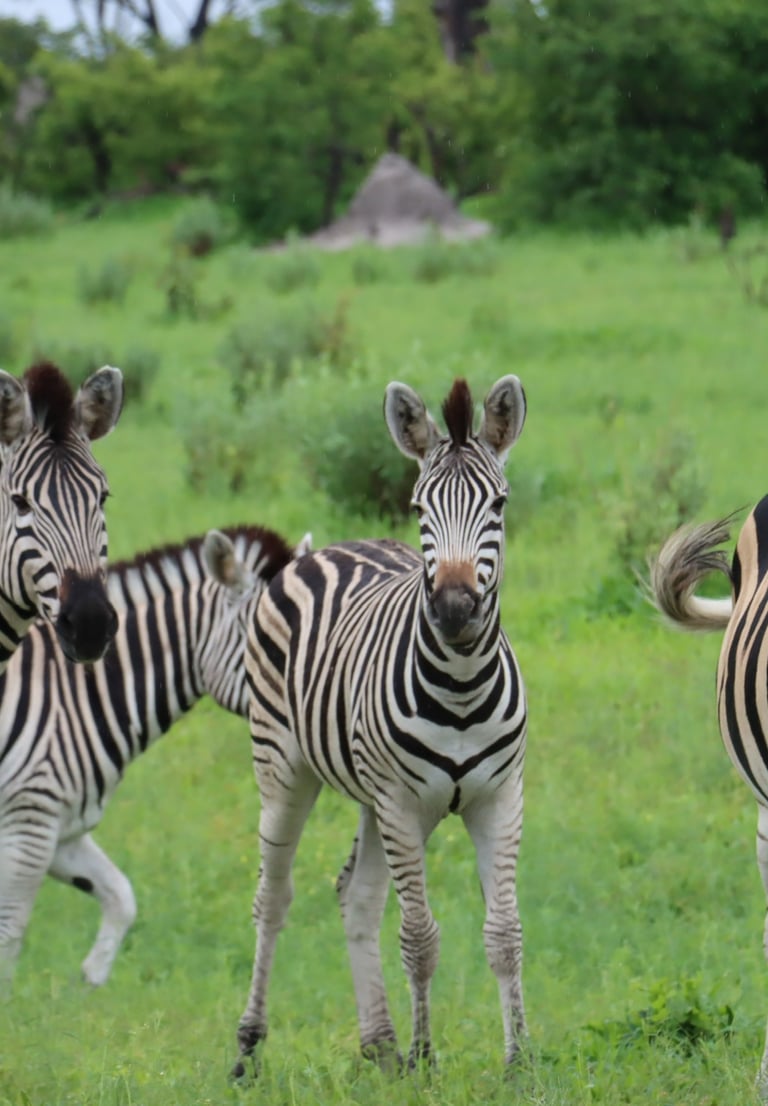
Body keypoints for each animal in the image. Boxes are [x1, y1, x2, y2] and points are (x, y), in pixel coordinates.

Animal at [0, 523, 310, 990]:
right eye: (270, 647)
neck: (76, 696)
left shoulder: (60, 831)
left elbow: (121, 899)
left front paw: (88, 984)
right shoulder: (28, 825)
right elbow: (10, 938)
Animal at [233, 376, 528, 1078]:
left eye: (499, 504)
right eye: (419, 508)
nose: (453, 608)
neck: (462, 686)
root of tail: (326, 549)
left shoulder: (499, 798)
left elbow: (504, 933)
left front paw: (520, 1060)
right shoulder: (400, 802)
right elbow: (419, 936)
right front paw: (426, 1057)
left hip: (370, 796)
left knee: (356, 894)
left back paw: (380, 1045)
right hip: (283, 771)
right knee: (273, 898)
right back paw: (250, 1046)